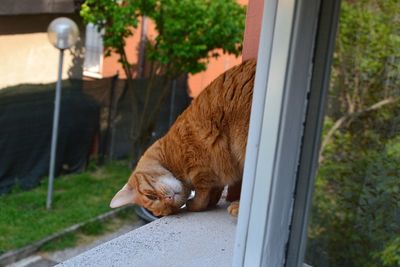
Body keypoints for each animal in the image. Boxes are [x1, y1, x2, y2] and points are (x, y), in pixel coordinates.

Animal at [110, 59, 253, 218]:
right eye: (170, 210)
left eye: (150, 196)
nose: (169, 200)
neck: (168, 155)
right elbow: (214, 191)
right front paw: (212, 201)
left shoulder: (200, 168)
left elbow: (202, 194)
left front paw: (195, 204)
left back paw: (238, 207)